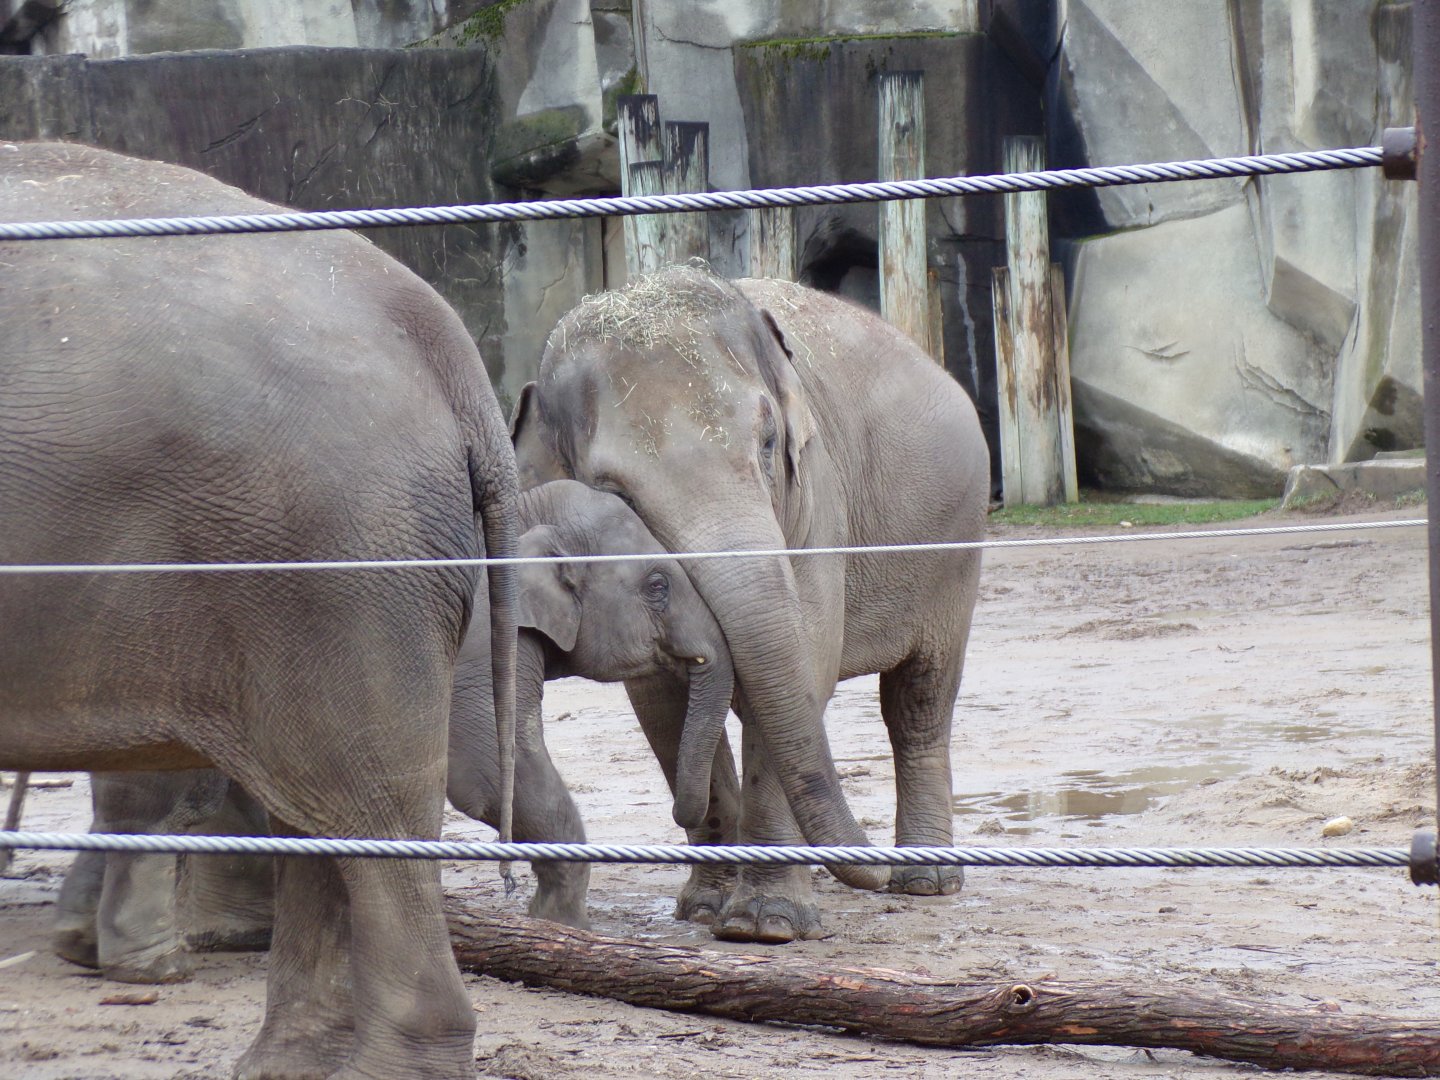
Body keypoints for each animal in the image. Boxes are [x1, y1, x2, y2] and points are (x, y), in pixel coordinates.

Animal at [511, 263, 989, 944]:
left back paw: (925, 882)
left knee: (919, 700)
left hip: (954, 548)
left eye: (767, 443)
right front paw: (704, 909)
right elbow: (663, 703)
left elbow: (805, 656)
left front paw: (763, 926)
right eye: (611, 489)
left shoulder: (817, 495)